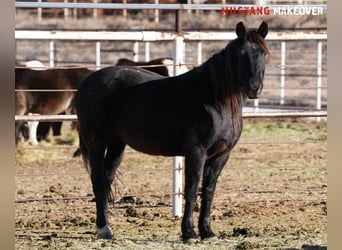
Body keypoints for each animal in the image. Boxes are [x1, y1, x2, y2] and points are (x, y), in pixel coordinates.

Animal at [75, 21, 270, 242]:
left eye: (263, 52)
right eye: (240, 53)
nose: (255, 88)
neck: (214, 100)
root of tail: (87, 83)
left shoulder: (220, 155)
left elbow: (208, 190)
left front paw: (207, 232)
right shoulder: (196, 152)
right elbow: (191, 189)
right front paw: (189, 233)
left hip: (117, 143)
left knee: (107, 178)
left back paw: (107, 227)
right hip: (97, 141)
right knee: (98, 180)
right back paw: (103, 229)